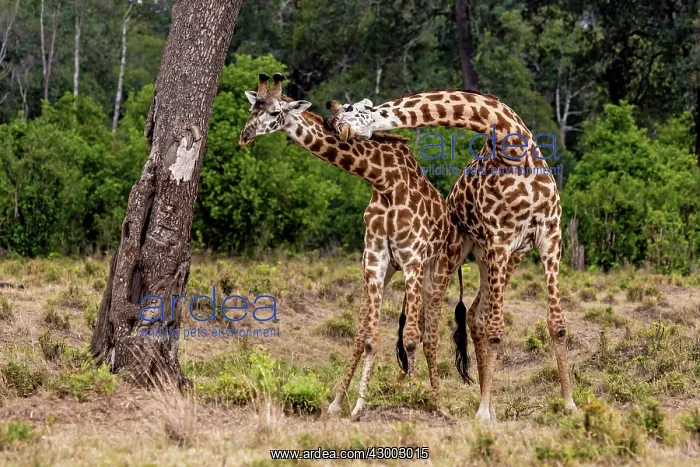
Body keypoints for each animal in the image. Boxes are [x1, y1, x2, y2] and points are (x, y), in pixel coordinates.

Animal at [239, 74, 471, 419]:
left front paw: (411, 396)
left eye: (275, 112)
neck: (384, 181)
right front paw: (348, 404)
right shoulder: (375, 258)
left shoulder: (413, 259)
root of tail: (459, 234)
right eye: (253, 108)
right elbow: (367, 337)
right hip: (394, 272)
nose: (245, 136)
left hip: (437, 272)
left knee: (429, 335)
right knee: (389, 331)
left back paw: (436, 401)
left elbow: (411, 338)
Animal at [326, 89, 577, 421]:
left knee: (475, 315)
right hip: (473, 257)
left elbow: (558, 326)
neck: (511, 145)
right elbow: (496, 330)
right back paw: (479, 404)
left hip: (505, 257)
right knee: (471, 318)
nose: (333, 123)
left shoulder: (550, 237)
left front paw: (570, 403)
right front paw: (482, 413)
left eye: (351, 109)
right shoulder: (500, 240)